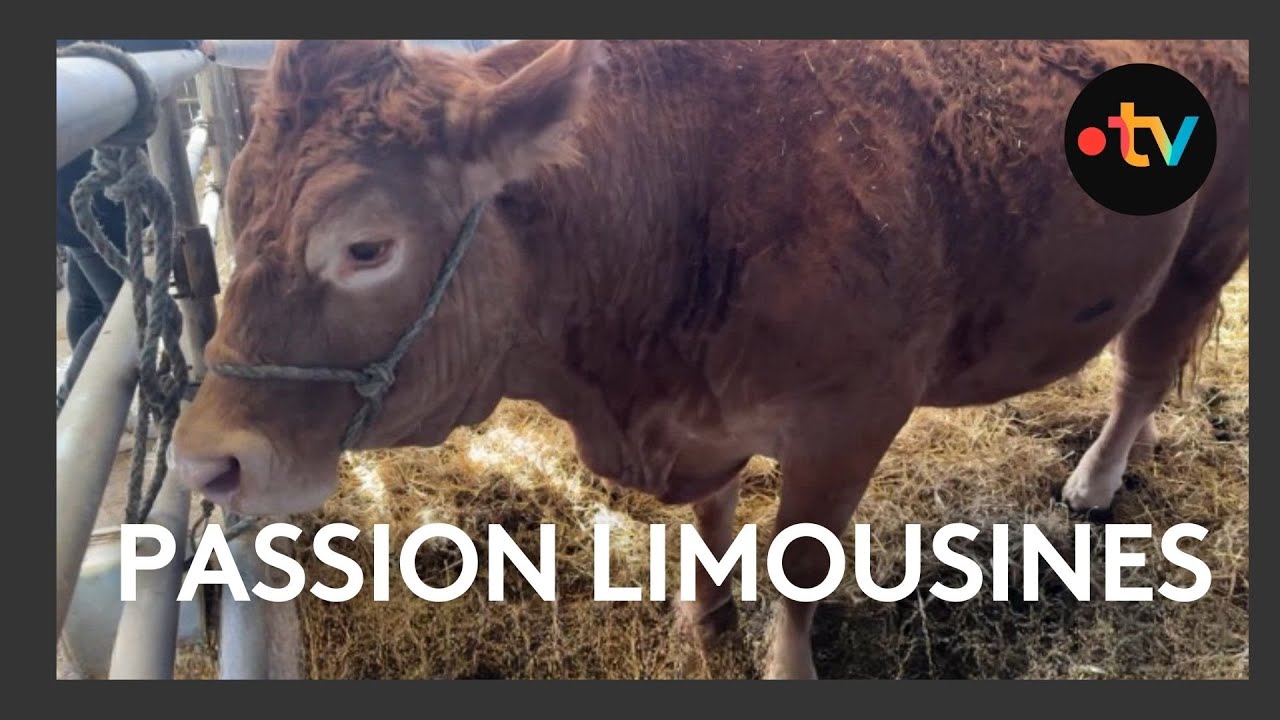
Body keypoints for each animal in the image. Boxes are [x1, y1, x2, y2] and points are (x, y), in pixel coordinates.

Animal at [170, 39, 1249, 679]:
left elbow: (799, 560)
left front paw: (784, 665)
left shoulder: (851, 418)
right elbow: (711, 517)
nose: (200, 461)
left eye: (365, 247)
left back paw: (1096, 480)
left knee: (1140, 370)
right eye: (234, 207)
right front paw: (702, 617)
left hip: (1205, 248)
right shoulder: (694, 418)